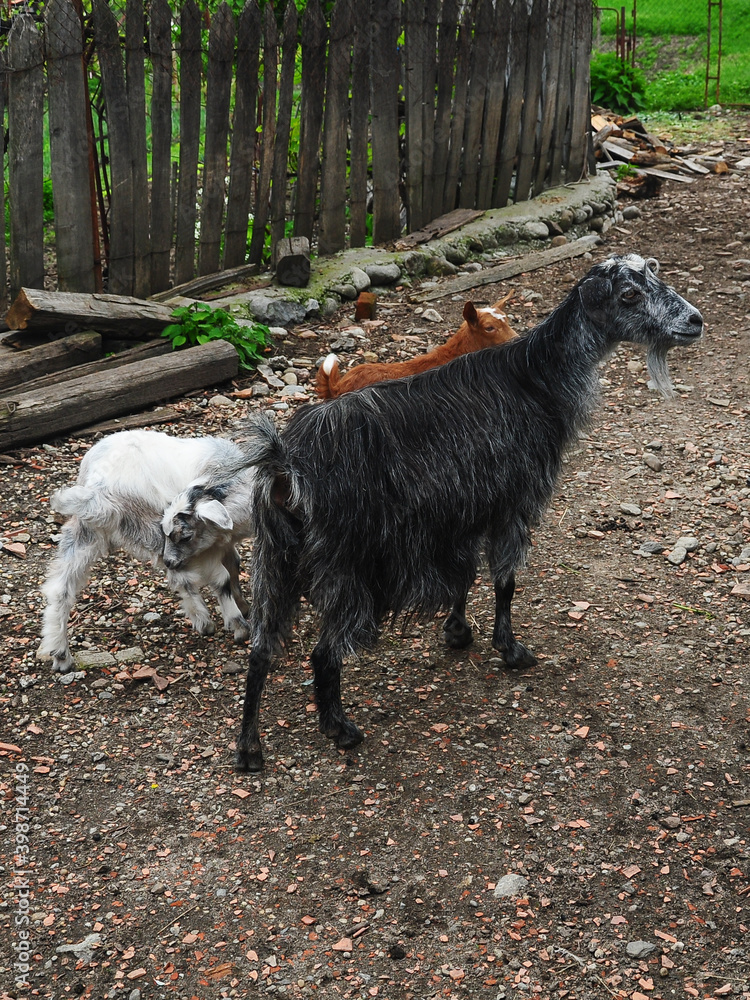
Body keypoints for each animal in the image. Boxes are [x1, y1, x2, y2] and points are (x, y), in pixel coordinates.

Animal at [39, 430, 255, 674]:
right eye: (186, 536)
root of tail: (99, 482)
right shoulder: (203, 547)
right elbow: (223, 578)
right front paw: (238, 622)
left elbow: (234, 563)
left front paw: (243, 605)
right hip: (151, 526)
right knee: (183, 575)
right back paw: (205, 620)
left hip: (86, 529)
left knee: (60, 588)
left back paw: (60, 653)